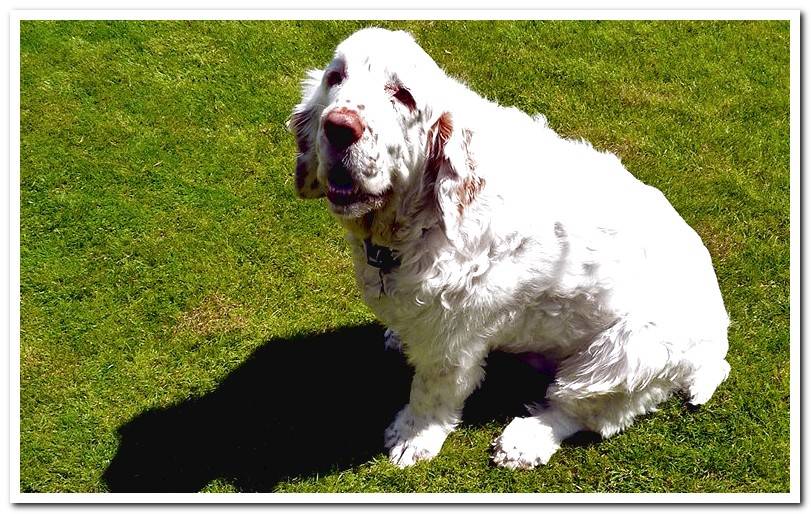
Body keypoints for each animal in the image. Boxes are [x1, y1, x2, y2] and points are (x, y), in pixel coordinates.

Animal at [288, 28, 732, 468]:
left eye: (403, 95)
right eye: (335, 78)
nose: (339, 127)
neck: (427, 214)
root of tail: (716, 345)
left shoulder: (454, 339)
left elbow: (433, 390)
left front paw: (413, 437)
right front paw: (398, 337)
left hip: (623, 355)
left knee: (585, 411)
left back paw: (525, 441)